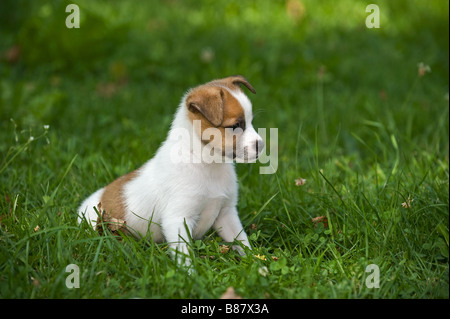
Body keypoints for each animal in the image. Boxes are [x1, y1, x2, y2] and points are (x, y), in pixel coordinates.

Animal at [78, 77, 264, 268]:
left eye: (250, 121)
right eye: (235, 126)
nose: (261, 145)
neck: (206, 162)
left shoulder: (226, 213)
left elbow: (242, 241)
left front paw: (256, 264)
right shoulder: (177, 220)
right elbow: (184, 256)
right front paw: (189, 274)